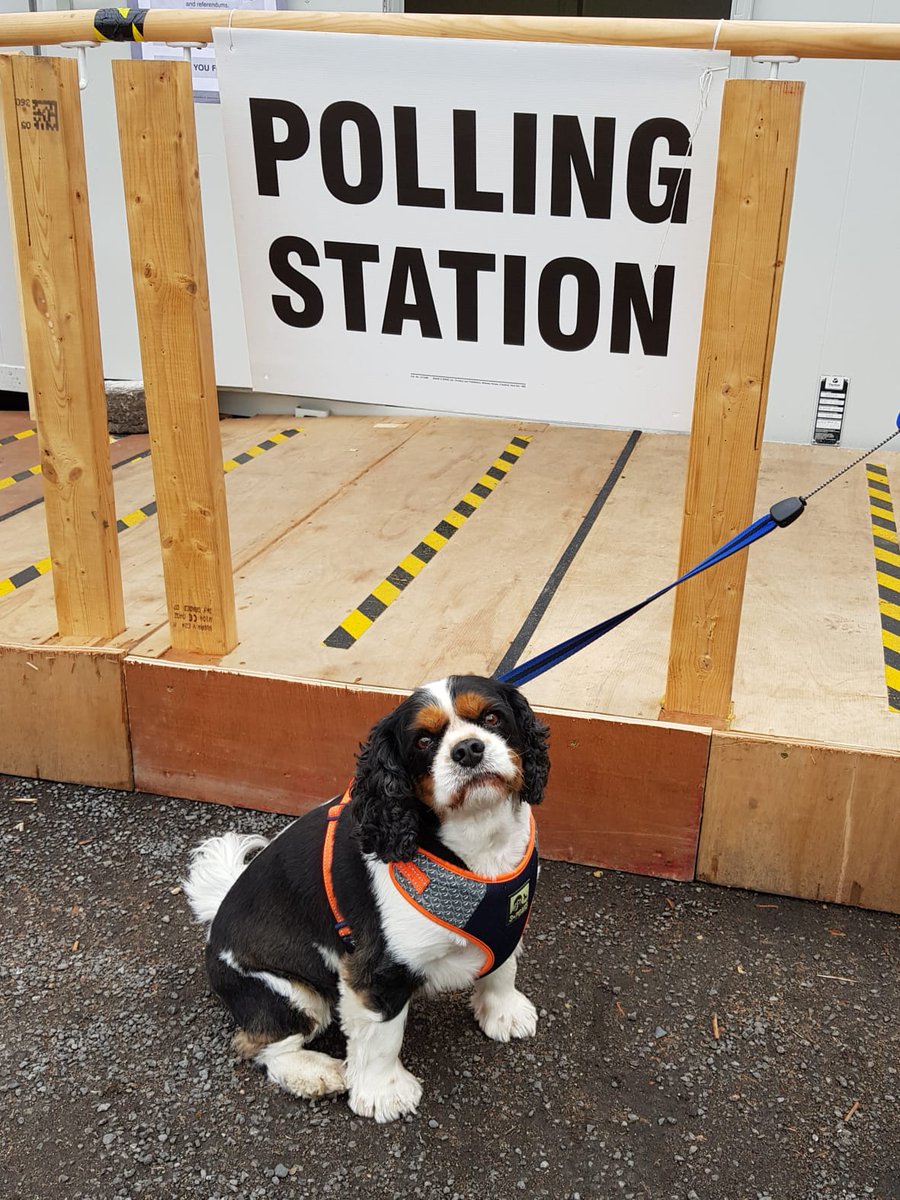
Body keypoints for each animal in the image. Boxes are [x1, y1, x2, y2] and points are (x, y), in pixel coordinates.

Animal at [183, 676, 549, 1123]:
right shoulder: (375, 970)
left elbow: (502, 968)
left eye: (492, 717)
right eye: (424, 740)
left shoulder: (511, 919)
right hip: (290, 992)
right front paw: (383, 1093)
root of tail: (216, 920)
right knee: (259, 1045)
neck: (478, 841)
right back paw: (316, 1073)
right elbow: (382, 1037)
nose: (467, 750)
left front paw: (504, 1012)